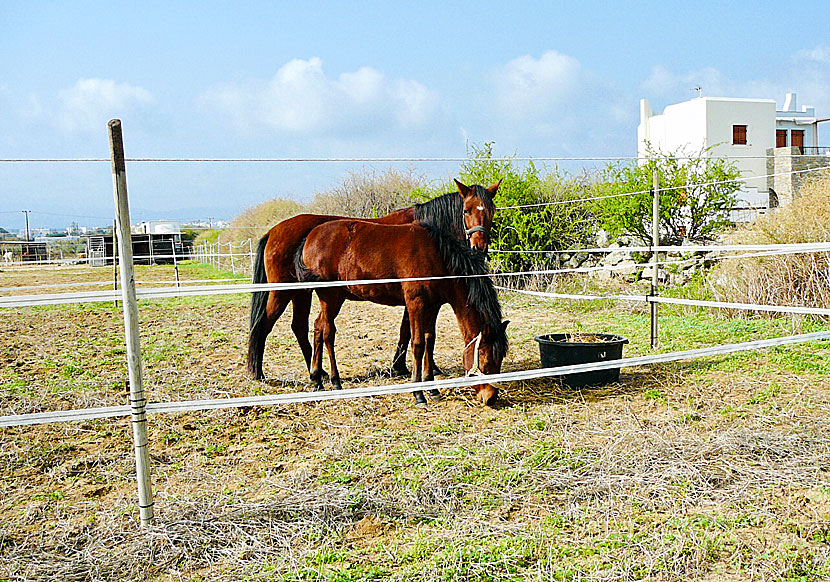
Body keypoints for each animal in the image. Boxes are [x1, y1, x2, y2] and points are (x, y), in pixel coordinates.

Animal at [247, 182, 500, 384]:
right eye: (466, 210)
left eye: (492, 211)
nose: (479, 247)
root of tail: (273, 231)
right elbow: (408, 330)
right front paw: (405, 366)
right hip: (283, 292)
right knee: (265, 323)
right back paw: (258, 372)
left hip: (303, 293)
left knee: (300, 327)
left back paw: (317, 372)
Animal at [296, 219, 510, 406]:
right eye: (485, 360)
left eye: (500, 359)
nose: (490, 397)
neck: (437, 257)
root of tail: (310, 236)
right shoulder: (416, 304)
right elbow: (418, 344)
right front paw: (418, 394)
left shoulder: (433, 306)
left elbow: (429, 341)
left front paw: (432, 389)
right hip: (330, 296)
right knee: (327, 332)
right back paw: (335, 381)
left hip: (335, 297)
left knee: (318, 327)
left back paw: (317, 379)